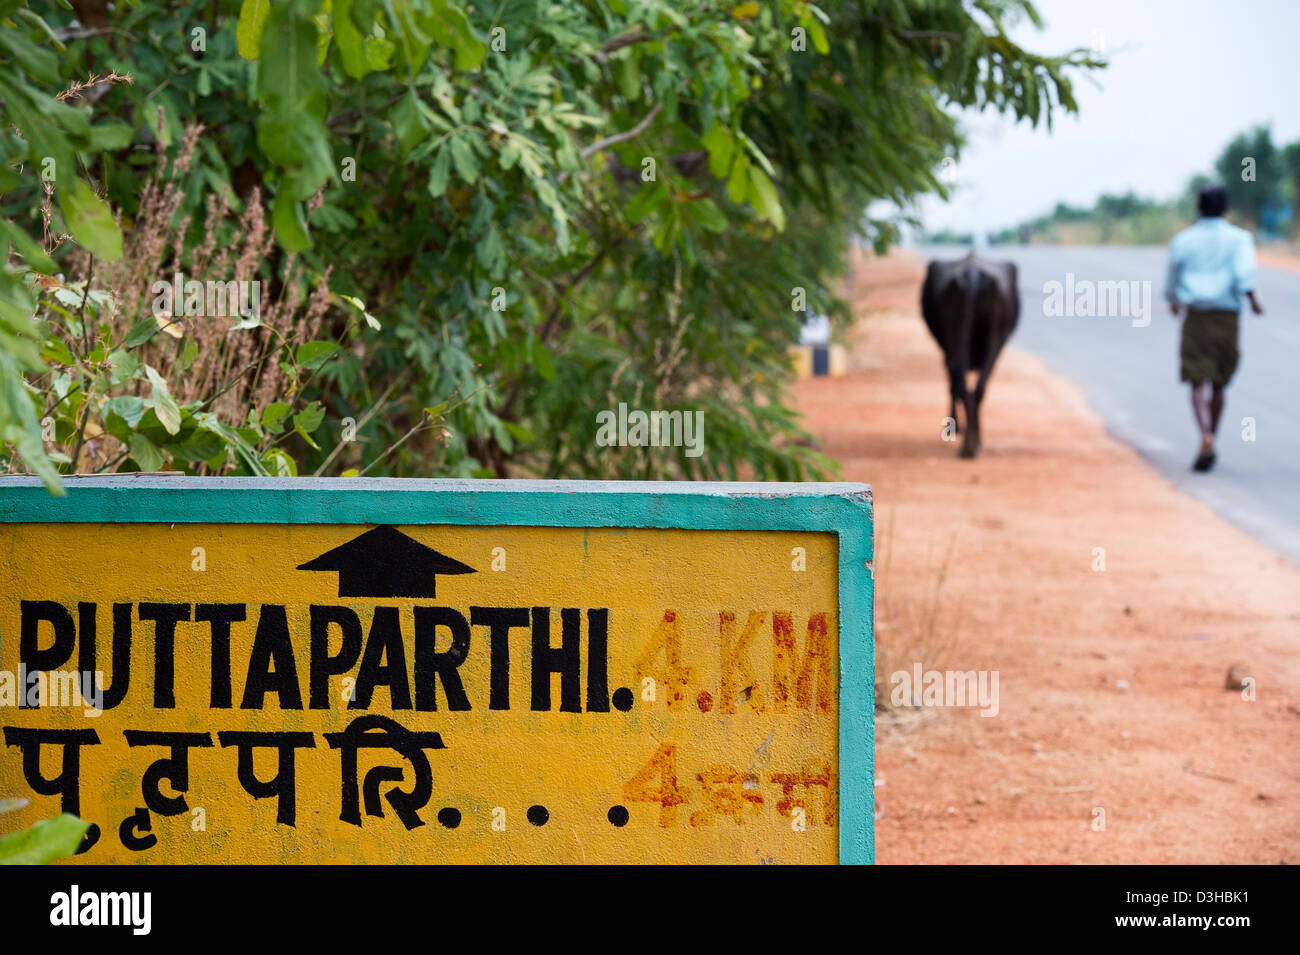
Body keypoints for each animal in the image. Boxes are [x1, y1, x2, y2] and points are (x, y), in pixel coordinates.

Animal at [920, 254, 1019, 459]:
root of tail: (973, 274)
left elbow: (953, 386)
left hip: (958, 334)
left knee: (961, 384)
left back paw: (968, 444)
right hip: (990, 337)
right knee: (977, 388)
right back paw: (972, 444)